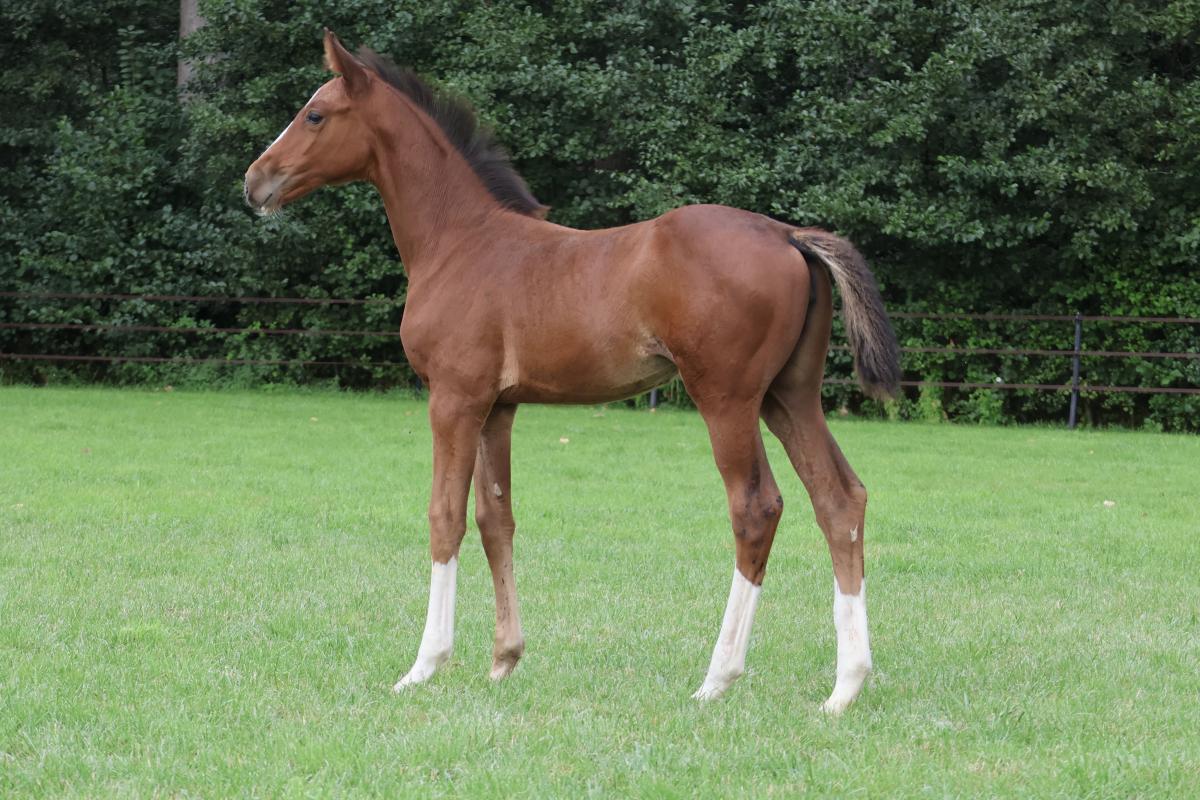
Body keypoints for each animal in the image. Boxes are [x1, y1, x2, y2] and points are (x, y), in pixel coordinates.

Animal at [244, 30, 900, 714]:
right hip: (789, 395)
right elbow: (495, 519)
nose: (254, 182)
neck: (459, 242)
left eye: (315, 114)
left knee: (756, 507)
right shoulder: (497, 406)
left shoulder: (453, 398)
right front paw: (503, 660)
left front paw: (424, 666)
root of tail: (788, 234)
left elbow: (444, 517)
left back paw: (717, 677)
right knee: (840, 499)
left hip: (726, 397)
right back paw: (846, 686)